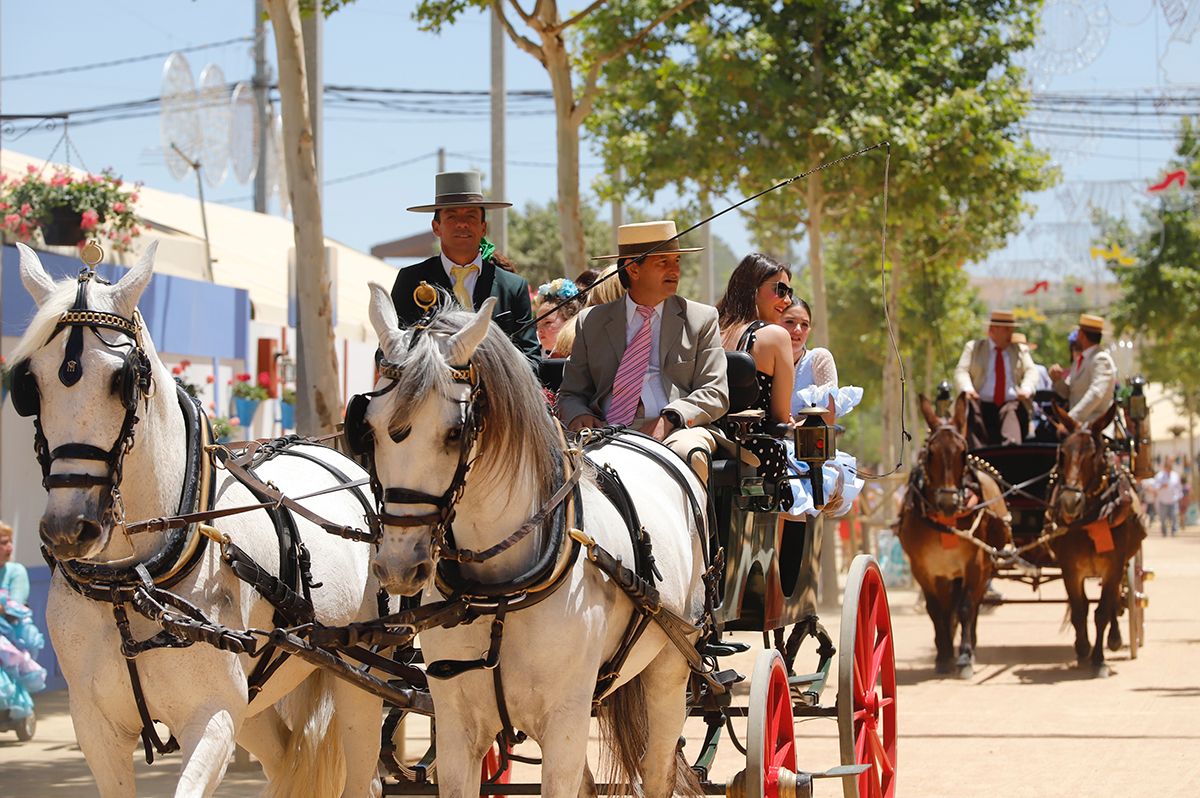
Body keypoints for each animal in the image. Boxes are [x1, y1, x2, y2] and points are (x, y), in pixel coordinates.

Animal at [9, 242, 381, 796]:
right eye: (28, 383)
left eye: (123, 379)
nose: (68, 528)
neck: (130, 584)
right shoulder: (96, 727)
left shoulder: (213, 716)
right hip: (260, 700)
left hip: (359, 679)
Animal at [360, 286, 705, 796]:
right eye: (369, 426)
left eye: (455, 431)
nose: (399, 565)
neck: (500, 593)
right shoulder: (457, 729)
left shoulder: (566, 724)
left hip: (670, 668)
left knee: (658, 766)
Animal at [902, 396, 1012, 676]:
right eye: (930, 453)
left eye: (963, 452)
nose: (948, 501)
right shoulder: (924, 569)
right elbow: (935, 610)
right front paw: (943, 655)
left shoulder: (974, 564)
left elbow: (965, 608)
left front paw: (964, 656)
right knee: (947, 607)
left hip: (983, 568)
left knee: (973, 605)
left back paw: (970, 644)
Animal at [1046, 400, 1147, 676]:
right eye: (1062, 454)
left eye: (1093, 455)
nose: (1070, 501)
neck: (1090, 519)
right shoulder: (1070, 569)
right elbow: (1079, 610)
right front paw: (1082, 649)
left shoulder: (1113, 565)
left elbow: (1101, 611)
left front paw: (1099, 659)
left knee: (1112, 601)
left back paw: (1115, 639)